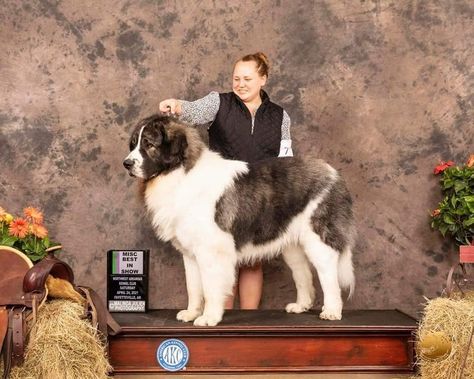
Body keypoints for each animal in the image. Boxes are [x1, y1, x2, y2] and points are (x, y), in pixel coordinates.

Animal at [123, 115, 356, 326]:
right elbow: (194, 286)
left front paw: (208, 317)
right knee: (303, 273)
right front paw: (191, 313)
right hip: (293, 247)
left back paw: (332, 311)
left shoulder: (211, 250)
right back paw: (301, 305)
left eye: (149, 144)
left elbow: (210, 286)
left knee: (329, 275)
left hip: (319, 240)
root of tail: (333, 173)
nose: (126, 163)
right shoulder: (190, 253)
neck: (180, 174)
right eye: (134, 144)